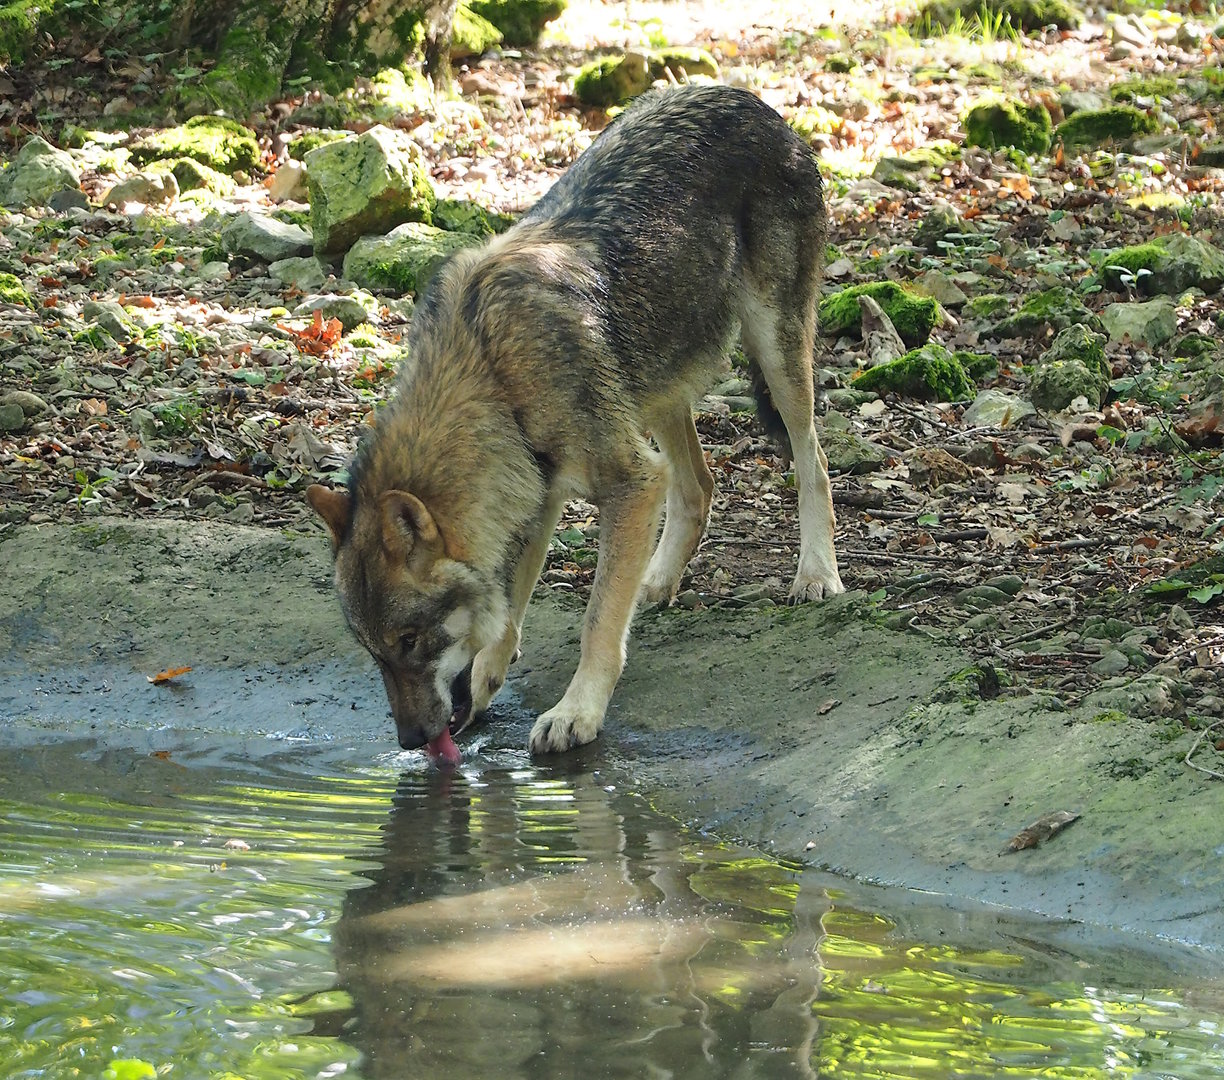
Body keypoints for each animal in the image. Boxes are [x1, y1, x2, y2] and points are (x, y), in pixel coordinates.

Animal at [307, 84, 844, 763]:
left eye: (409, 640)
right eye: (374, 652)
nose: (412, 741)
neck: (494, 371)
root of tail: (749, 100)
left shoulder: (629, 481)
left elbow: (593, 623)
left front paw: (575, 712)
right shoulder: (538, 492)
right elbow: (509, 608)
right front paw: (485, 682)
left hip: (773, 355)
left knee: (811, 460)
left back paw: (817, 575)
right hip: (652, 386)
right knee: (698, 485)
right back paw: (655, 583)